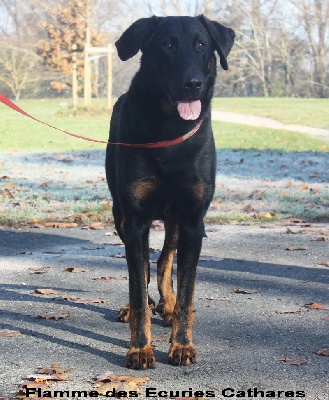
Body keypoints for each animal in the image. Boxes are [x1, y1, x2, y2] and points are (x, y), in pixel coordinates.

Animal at [105, 16, 233, 372]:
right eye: (167, 45)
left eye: (201, 44)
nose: (193, 84)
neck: (170, 131)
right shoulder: (135, 220)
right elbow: (138, 286)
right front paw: (140, 348)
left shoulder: (192, 221)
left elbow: (187, 290)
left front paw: (182, 344)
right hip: (120, 215)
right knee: (145, 268)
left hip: (176, 220)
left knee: (164, 261)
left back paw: (169, 306)